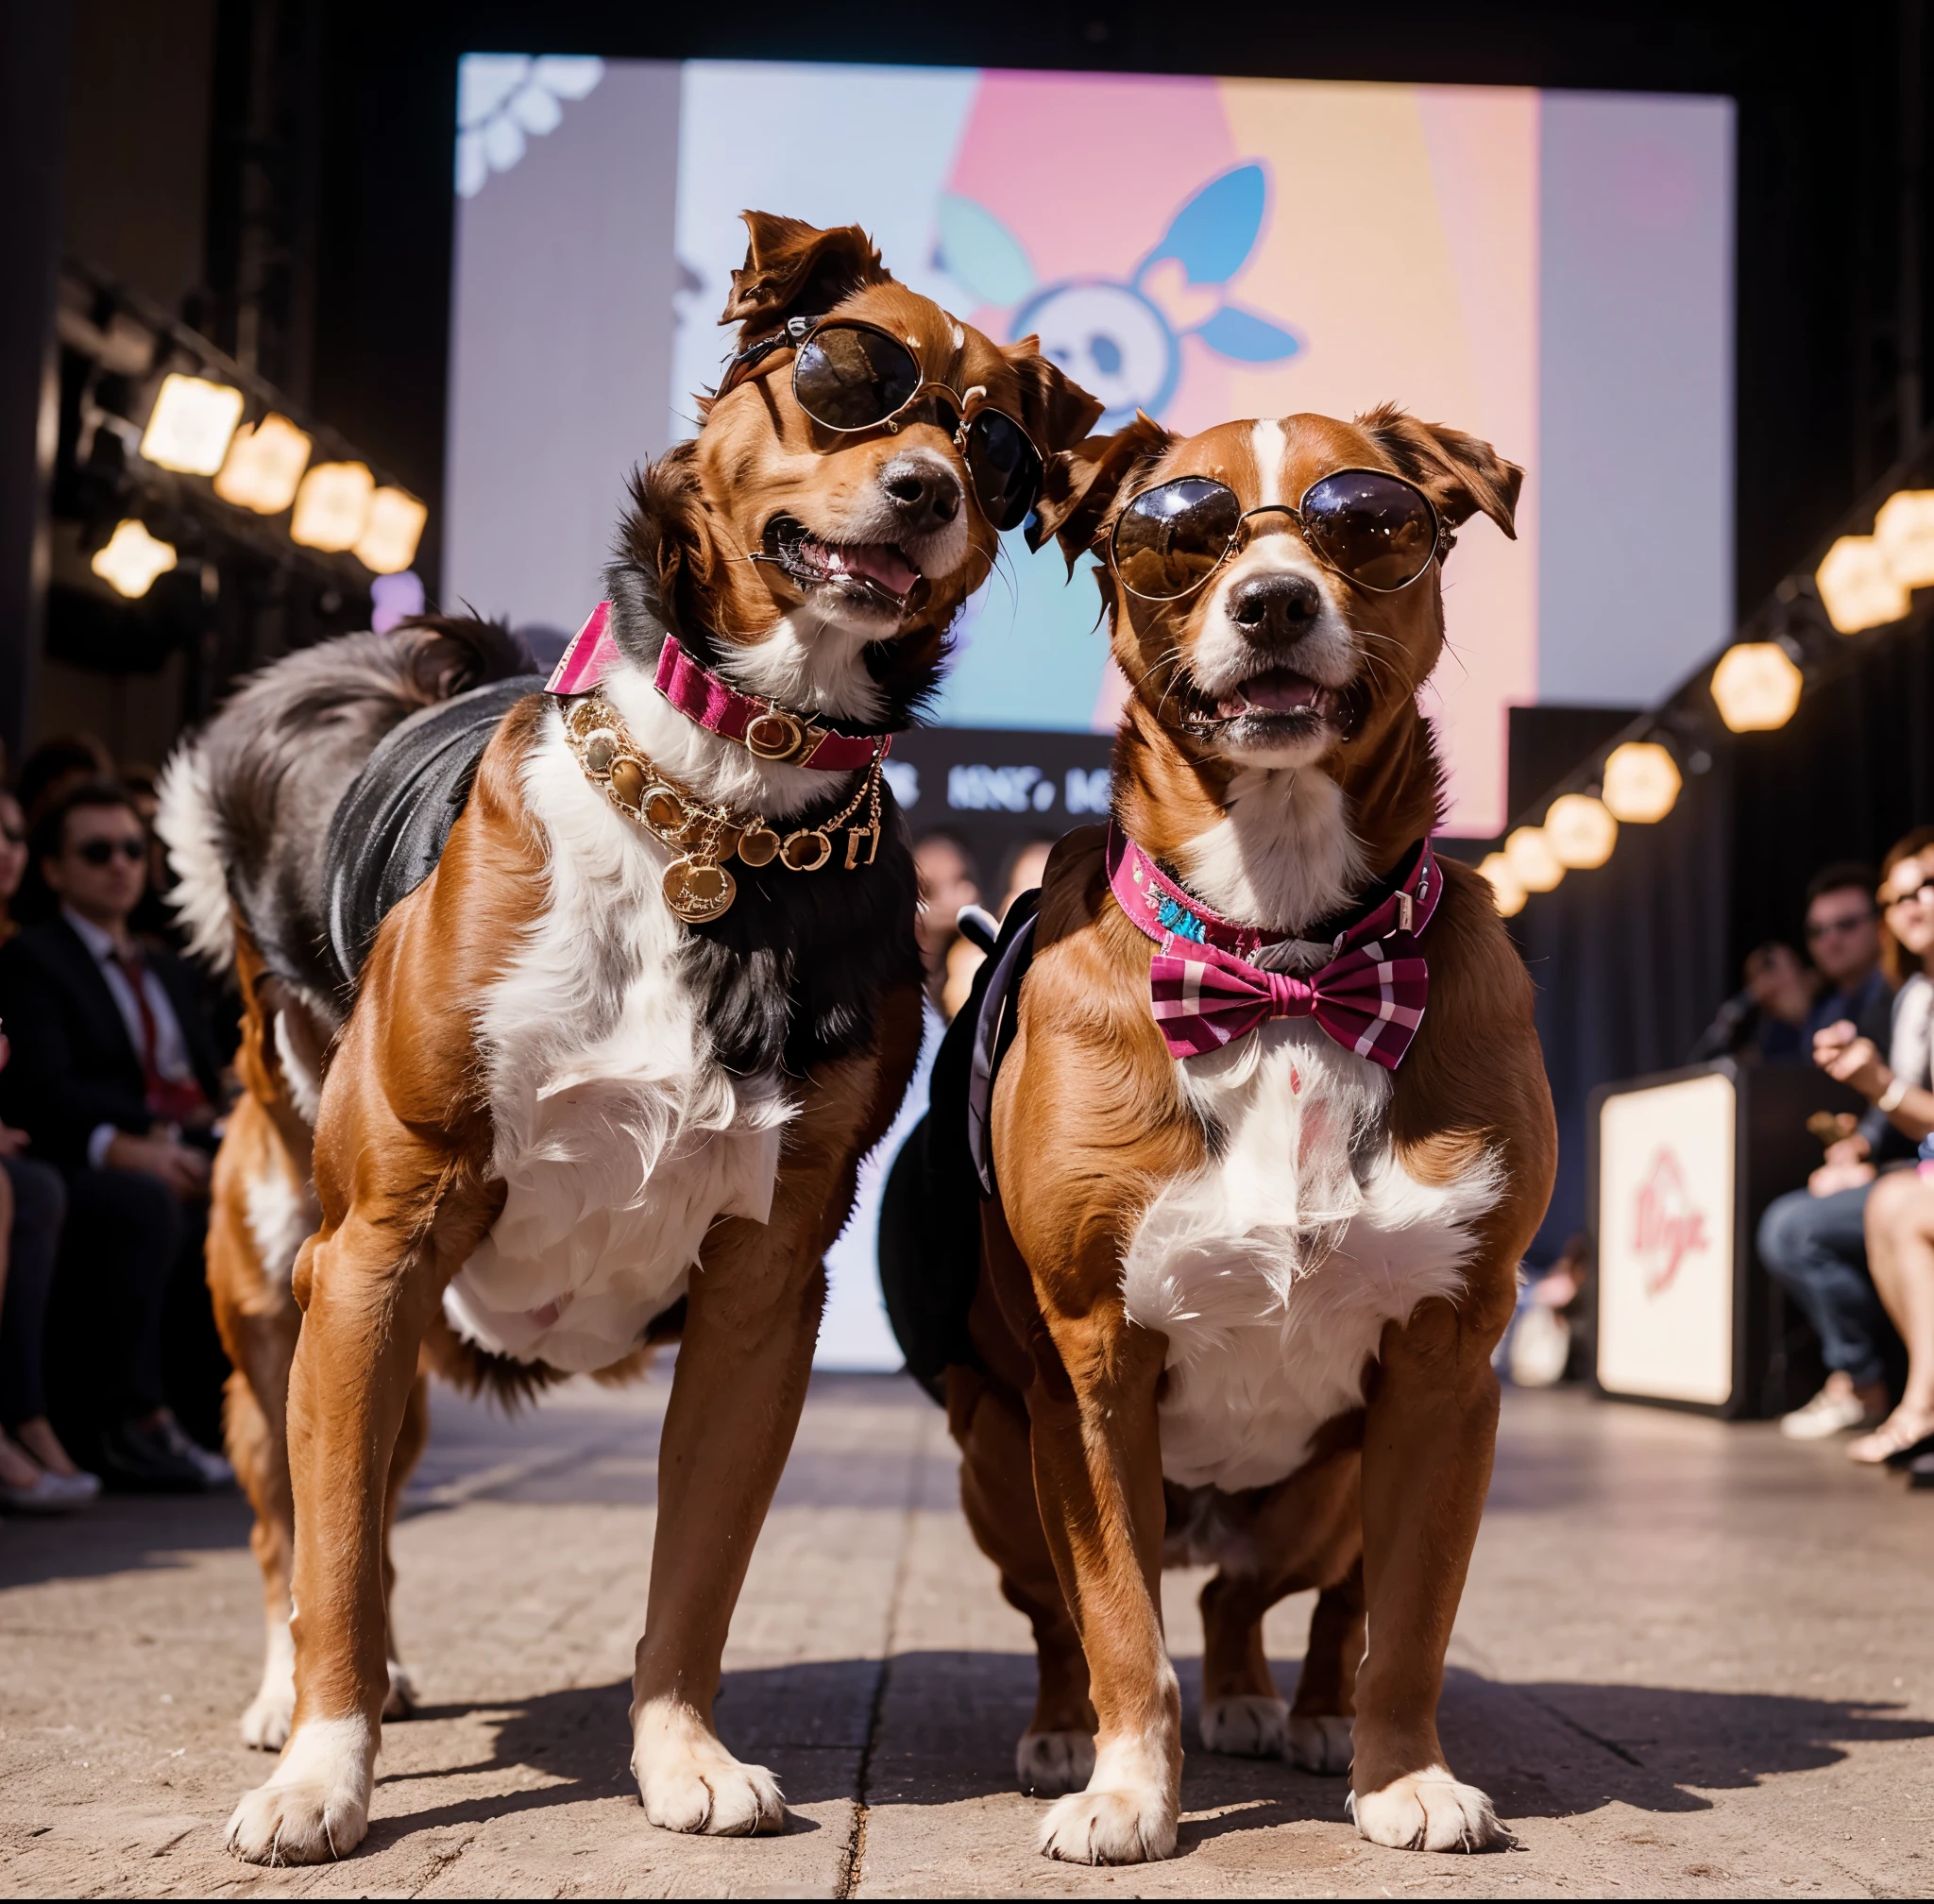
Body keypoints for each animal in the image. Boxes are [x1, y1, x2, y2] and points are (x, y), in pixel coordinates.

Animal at [162, 212, 1106, 1857]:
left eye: (997, 446)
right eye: (847, 373)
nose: (931, 487)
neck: (718, 803)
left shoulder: (762, 1289)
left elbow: (695, 1574)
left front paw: (681, 1757)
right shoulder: (381, 1243)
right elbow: (331, 1552)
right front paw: (328, 1772)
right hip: (287, 1290)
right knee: (297, 1521)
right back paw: (299, 1699)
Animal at [936, 404, 1554, 1857]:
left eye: (1368, 518)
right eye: (1182, 529)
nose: (1273, 600)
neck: (1282, 952)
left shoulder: (1447, 1367)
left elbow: (1410, 1622)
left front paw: (1405, 1776)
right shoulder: (1089, 1369)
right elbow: (1114, 1622)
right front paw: (1126, 1789)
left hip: (1327, 1488)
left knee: (1269, 1599)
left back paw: (1297, 1710)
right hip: (998, 1460)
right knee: (1074, 1614)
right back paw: (1063, 1732)